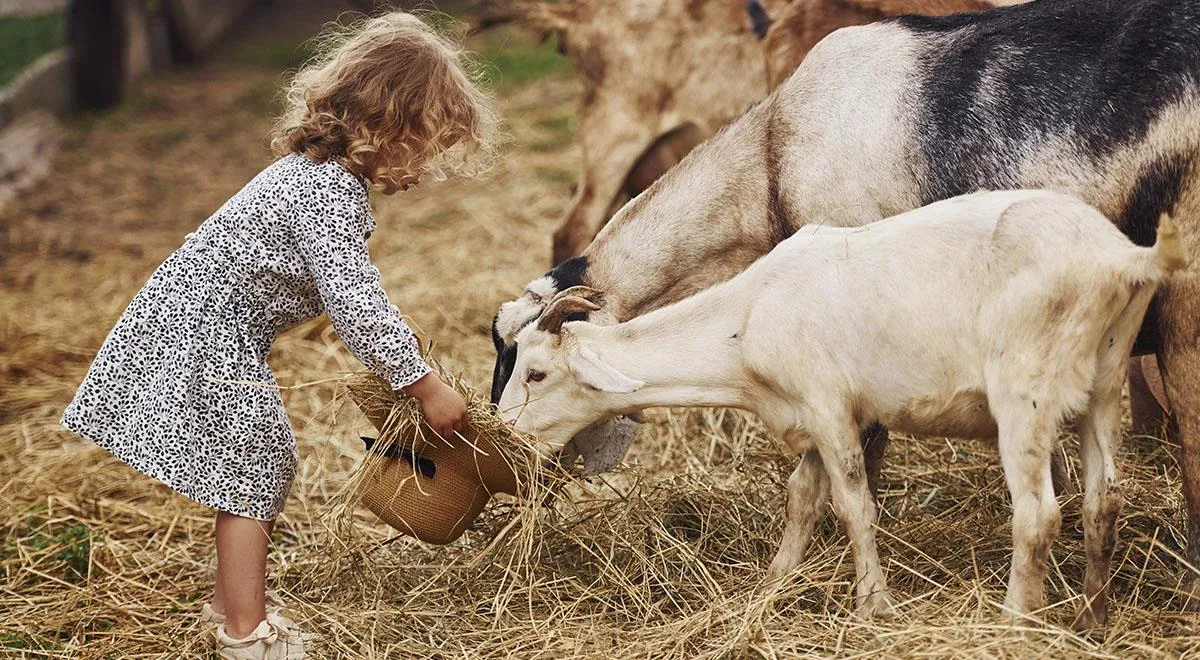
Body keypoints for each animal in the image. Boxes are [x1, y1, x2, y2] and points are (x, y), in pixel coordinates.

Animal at [499, 188, 1190, 628]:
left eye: (536, 371)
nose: (504, 433)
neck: (747, 315)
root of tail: (1121, 257)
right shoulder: (813, 417)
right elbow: (802, 496)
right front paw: (775, 582)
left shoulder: (830, 406)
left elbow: (855, 504)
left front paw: (873, 605)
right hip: (1103, 380)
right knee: (1103, 502)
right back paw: (1092, 619)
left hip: (1026, 390)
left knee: (1040, 513)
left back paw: (1014, 623)